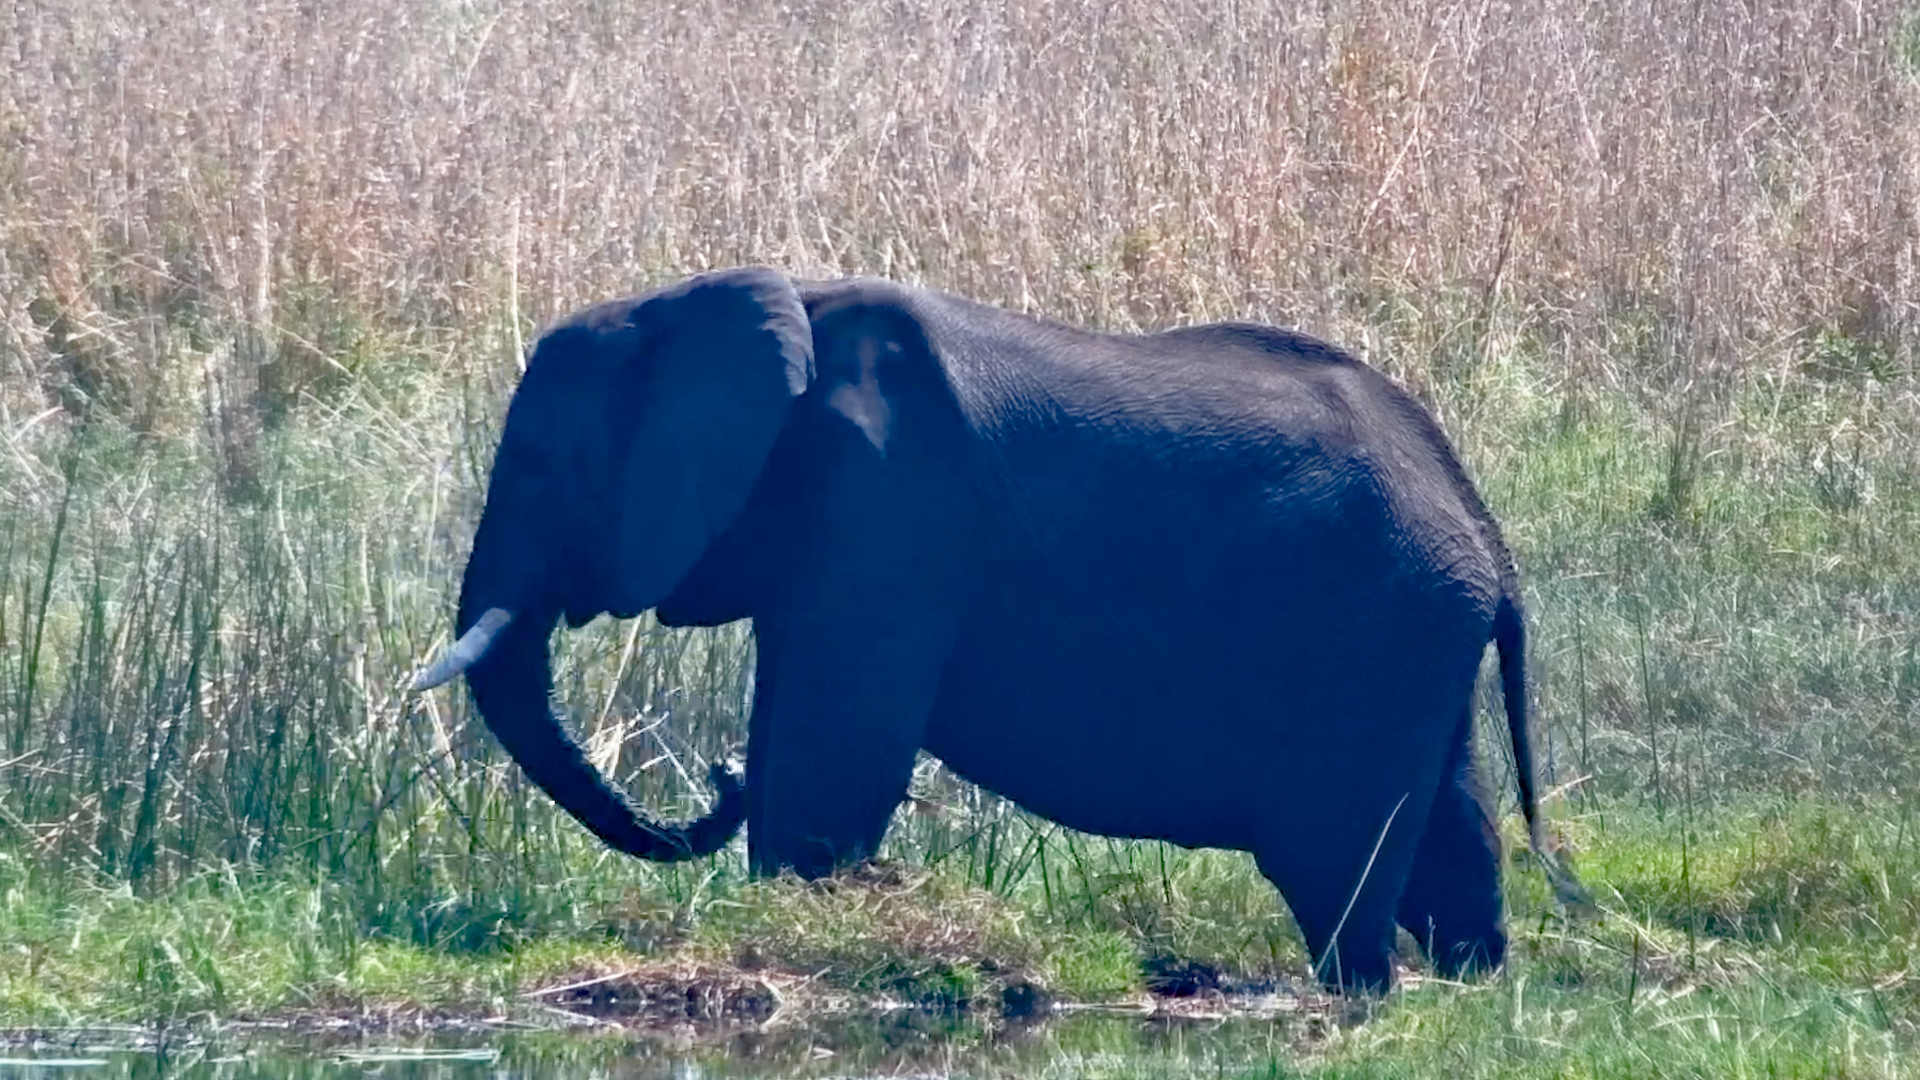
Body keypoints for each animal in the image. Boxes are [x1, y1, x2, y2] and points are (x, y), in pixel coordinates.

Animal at [413, 266, 1581, 992]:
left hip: (1373, 637)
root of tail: (1487, 535)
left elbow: (837, 755)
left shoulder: (891, 508)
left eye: (537, 461)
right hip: (1416, 636)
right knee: (1453, 827)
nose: (715, 773)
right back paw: (1475, 986)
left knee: (1337, 866)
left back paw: (1359, 994)